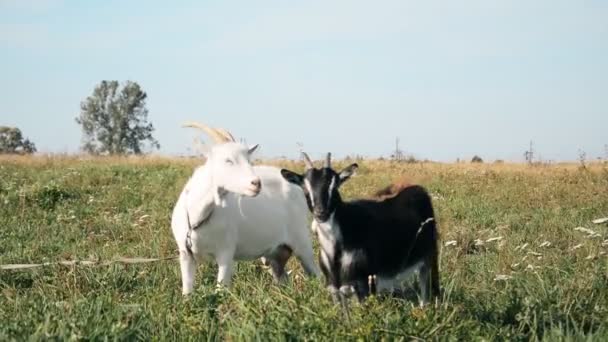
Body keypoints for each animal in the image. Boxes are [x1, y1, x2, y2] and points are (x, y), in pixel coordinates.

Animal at [169, 123, 316, 294]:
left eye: (248, 160)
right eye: (228, 160)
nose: (256, 183)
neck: (197, 217)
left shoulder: (226, 252)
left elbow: (221, 289)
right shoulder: (186, 255)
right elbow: (187, 291)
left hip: (301, 241)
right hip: (277, 254)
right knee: (283, 277)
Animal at [280, 154, 442, 304]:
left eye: (335, 185)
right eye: (305, 188)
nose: (321, 213)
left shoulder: (363, 284)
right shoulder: (333, 288)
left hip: (429, 257)